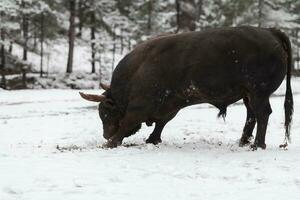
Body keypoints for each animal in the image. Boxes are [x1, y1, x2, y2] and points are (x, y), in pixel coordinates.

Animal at [79, 26, 292, 148]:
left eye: (105, 112)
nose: (105, 134)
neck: (137, 69)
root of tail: (270, 31)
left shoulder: (139, 106)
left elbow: (127, 122)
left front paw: (111, 143)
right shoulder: (170, 105)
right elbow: (161, 123)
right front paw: (152, 139)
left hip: (258, 92)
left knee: (262, 114)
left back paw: (257, 144)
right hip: (248, 94)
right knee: (252, 115)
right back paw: (243, 141)